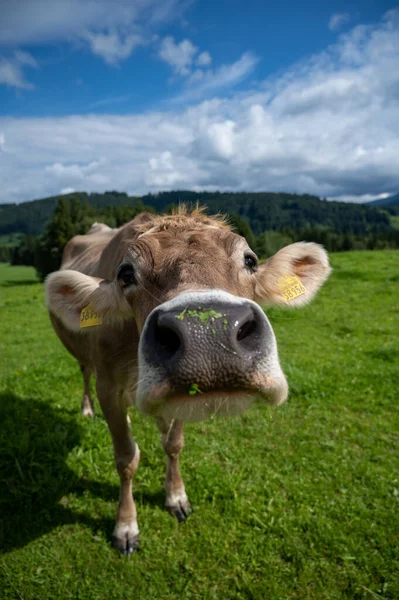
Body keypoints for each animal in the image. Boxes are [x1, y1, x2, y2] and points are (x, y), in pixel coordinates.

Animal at [45, 206, 332, 552]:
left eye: (250, 260)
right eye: (126, 273)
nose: (207, 333)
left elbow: (174, 444)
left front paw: (176, 496)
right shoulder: (109, 388)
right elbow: (126, 458)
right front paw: (125, 526)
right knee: (84, 371)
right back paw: (86, 409)